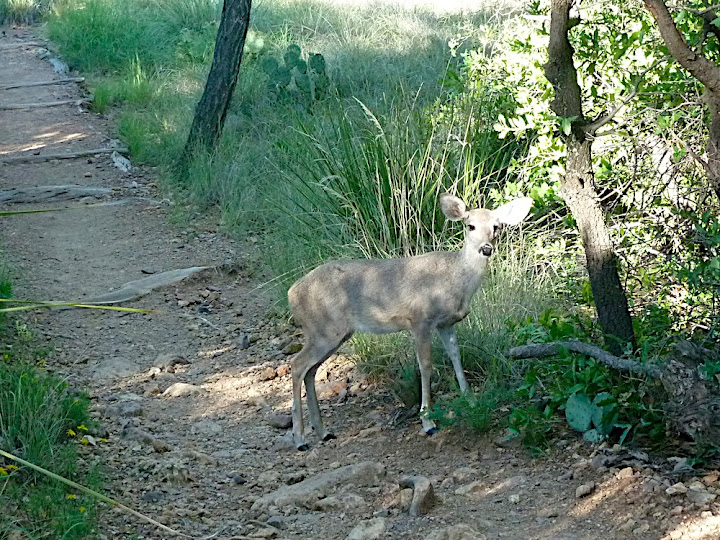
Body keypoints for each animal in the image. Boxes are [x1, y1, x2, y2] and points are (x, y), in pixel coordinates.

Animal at [288, 192, 536, 450]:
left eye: (496, 226)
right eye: (470, 225)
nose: (486, 249)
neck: (454, 282)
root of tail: (291, 293)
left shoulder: (446, 323)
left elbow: (456, 357)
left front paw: (471, 400)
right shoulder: (419, 319)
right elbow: (425, 365)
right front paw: (428, 421)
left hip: (333, 333)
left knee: (310, 370)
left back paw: (322, 432)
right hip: (325, 329)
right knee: (297, 365)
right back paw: (300, 439)